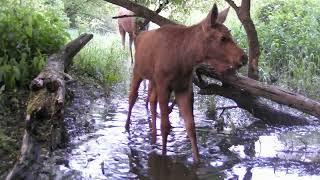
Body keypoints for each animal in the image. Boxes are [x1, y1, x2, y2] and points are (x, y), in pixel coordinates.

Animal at [125, 3, 248, 163]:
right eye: (223, 38)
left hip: (153, 80)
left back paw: (153, 135)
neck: (185, 59)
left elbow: (190, 126)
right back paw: (127, 126)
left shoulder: (183, 87)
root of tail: (138, 36)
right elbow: (165, 125)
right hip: (138, 72)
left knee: (151, 101)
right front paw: (163, 155)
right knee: (132, 97)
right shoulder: (164, 85)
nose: (244, 57)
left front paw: (197, 160)